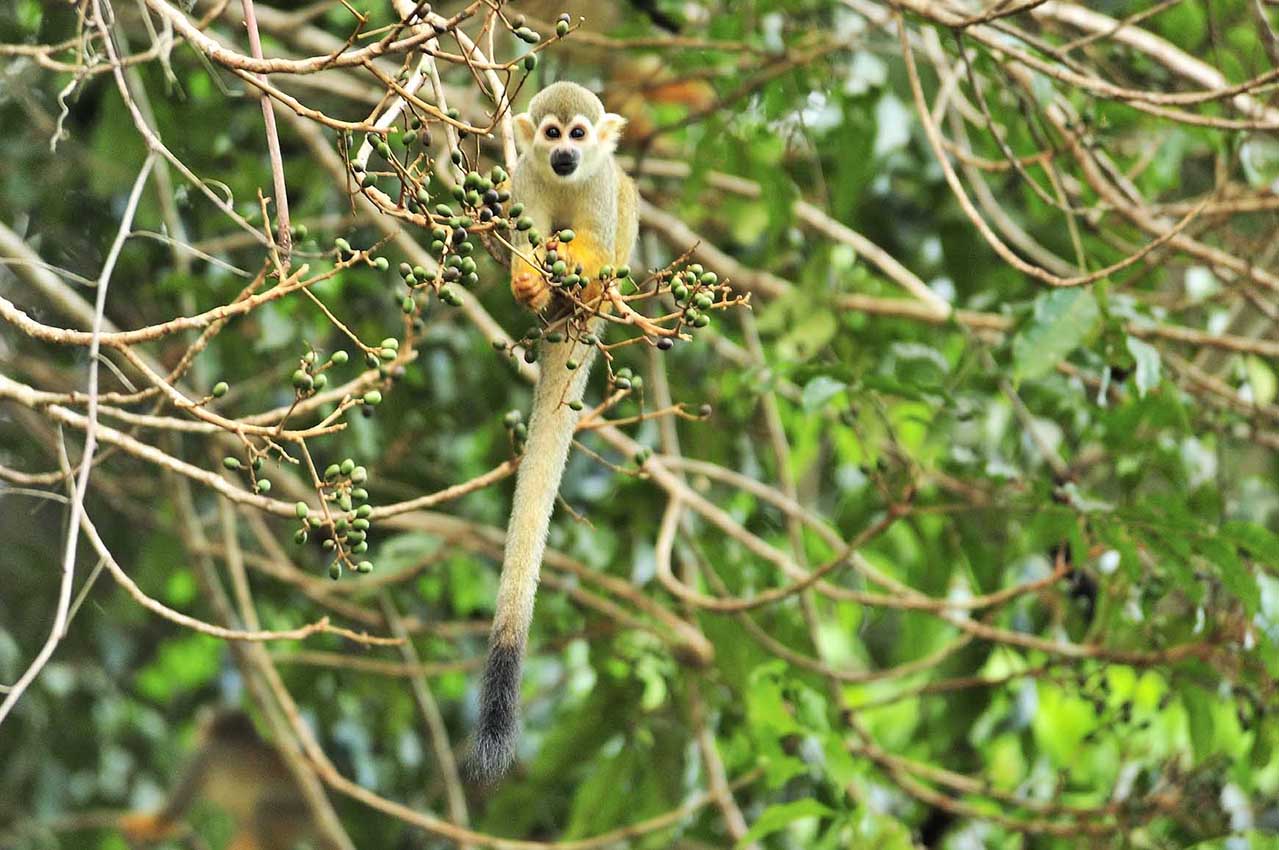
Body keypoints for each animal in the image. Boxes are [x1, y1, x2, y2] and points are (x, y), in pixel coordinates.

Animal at [117, 708, 326, 850]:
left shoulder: (202, 758)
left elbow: (170, 814)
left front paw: (141, 825)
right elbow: (245, 826)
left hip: (299, 809)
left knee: (264, 810)